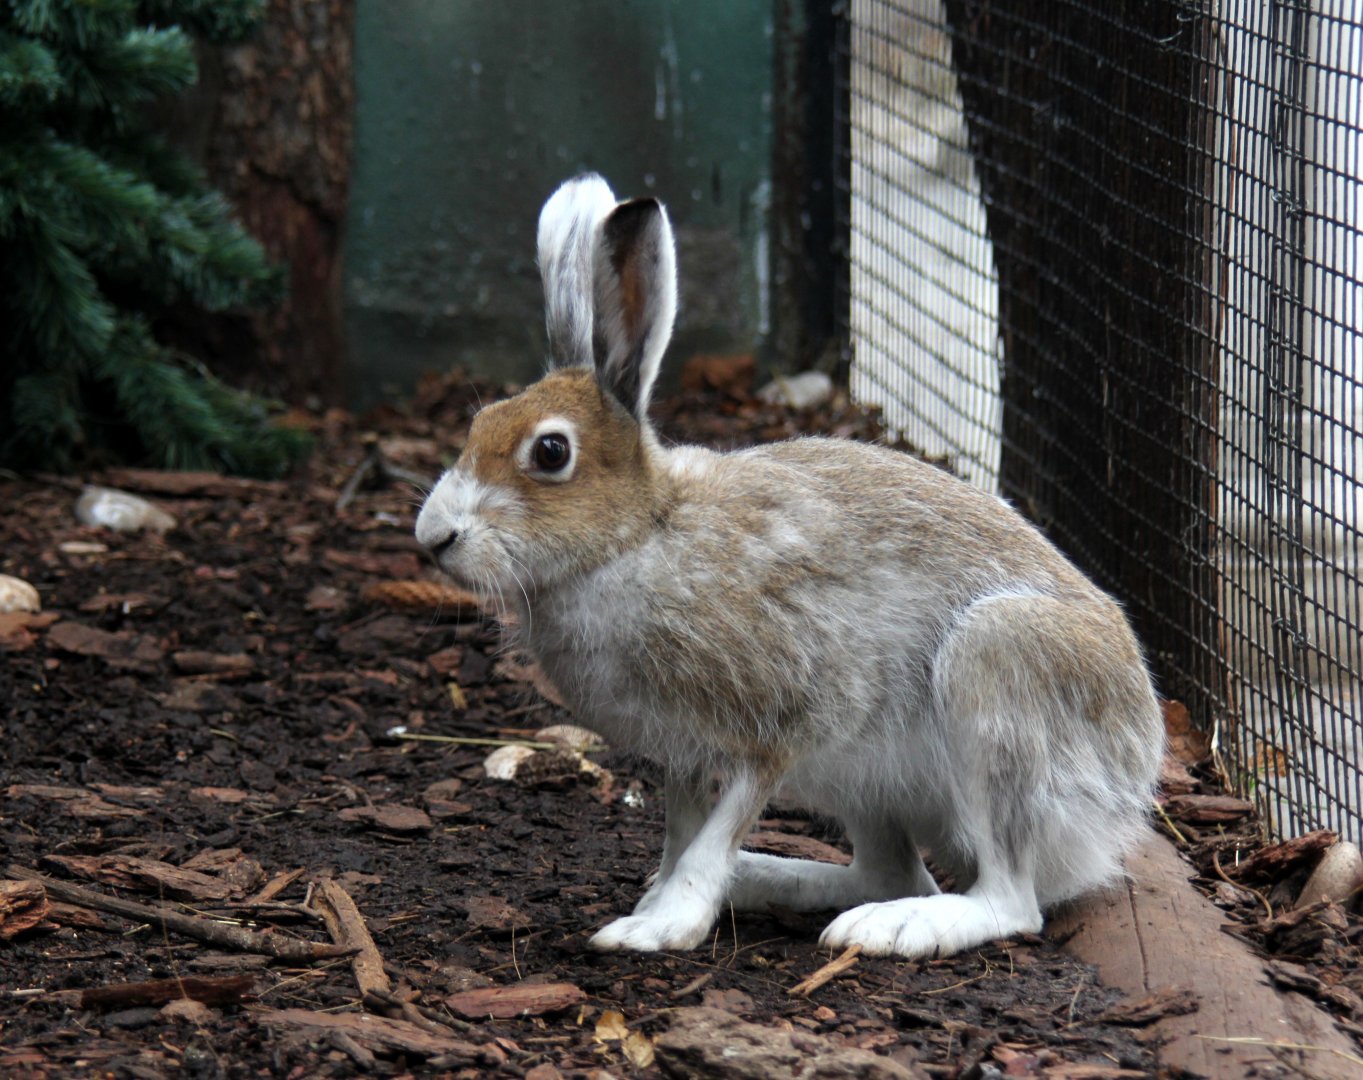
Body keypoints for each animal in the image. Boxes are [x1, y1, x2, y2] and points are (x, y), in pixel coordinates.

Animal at [415, 174, 1165, 959]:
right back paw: (773, 882)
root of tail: (1133, 774)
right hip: (865, 785)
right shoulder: (684, 754)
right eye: (477, 423)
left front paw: (660, 926)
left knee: (1005, 898)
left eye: (551, 452)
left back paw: (893, 927)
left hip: (995, 681)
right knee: (888, 870)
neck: (641, 534)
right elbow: (682, 833)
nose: (433, 537)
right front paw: (659, 900)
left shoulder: (784, 723)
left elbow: (712, 835)